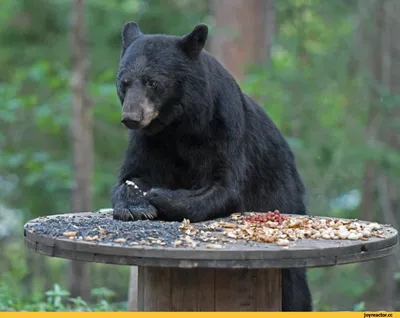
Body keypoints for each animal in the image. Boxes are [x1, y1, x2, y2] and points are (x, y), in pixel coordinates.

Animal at [111, 21, 312, 310]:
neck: (179, 124)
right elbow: (133, 174)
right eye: (123, 82)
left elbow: (223, 187)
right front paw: (135, 204)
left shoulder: (222, 128)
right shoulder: (151, 141)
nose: (131, 118)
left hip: (282, 191)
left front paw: (160, 196)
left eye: (153, 83)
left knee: (295, 285)